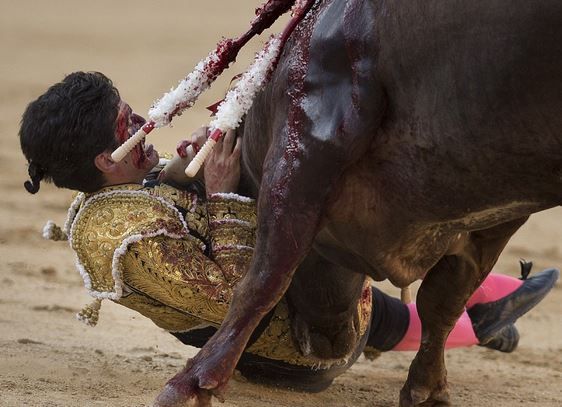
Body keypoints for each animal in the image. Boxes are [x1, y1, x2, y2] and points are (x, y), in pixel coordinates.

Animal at [154, 0, 560, 406]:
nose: (331, 346)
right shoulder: (493, 214)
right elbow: (443, 300)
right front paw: (427, 390)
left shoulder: (307, 146)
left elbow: (264, 277)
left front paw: (191, 382)